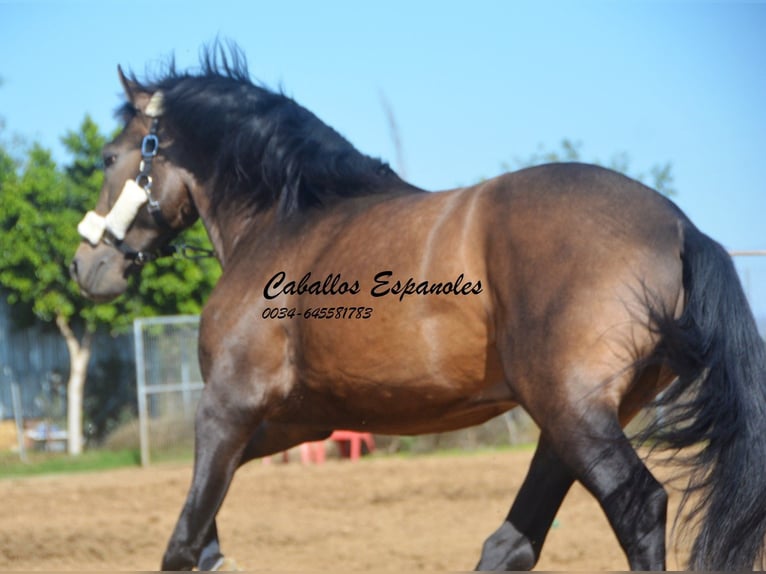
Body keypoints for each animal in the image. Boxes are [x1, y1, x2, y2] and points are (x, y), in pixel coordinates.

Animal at [70, 47, 766, 572]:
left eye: (109, 157)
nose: (84, 267)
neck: (290, 220)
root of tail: (679, 227)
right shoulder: (300, 421)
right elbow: (206, 516)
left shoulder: (226, 406)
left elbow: (184, 537)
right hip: (569, 420)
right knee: (511, 545)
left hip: (573, 413)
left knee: (637, 506)